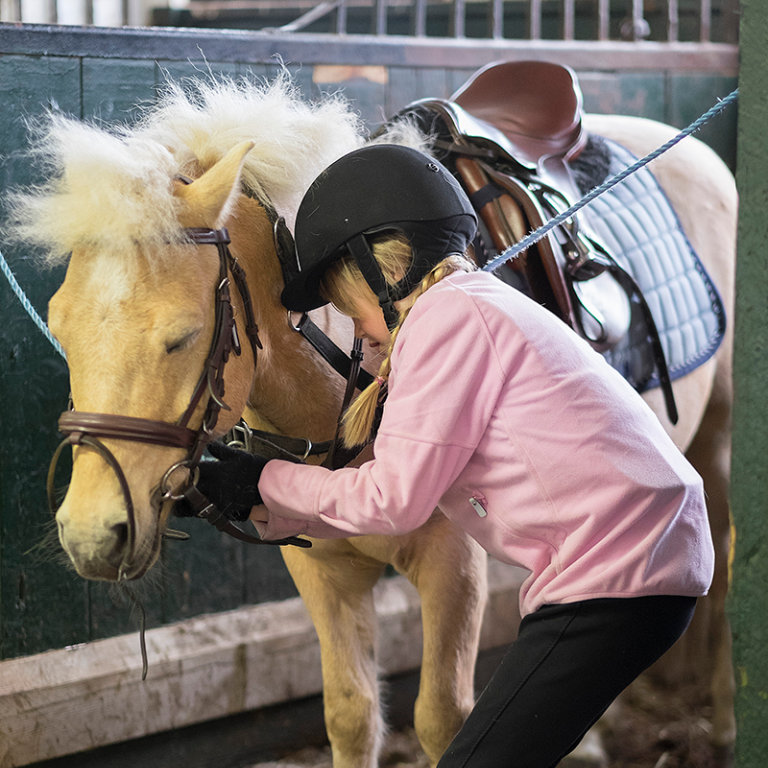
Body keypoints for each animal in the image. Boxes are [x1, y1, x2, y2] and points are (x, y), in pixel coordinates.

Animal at [9, 73, 736, 768]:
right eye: (62, 326)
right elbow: (352, 714)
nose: (92, 535)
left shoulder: (453, 567)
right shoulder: (325, 571)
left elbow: (442, 718)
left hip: (719, 440)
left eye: (182, 336)